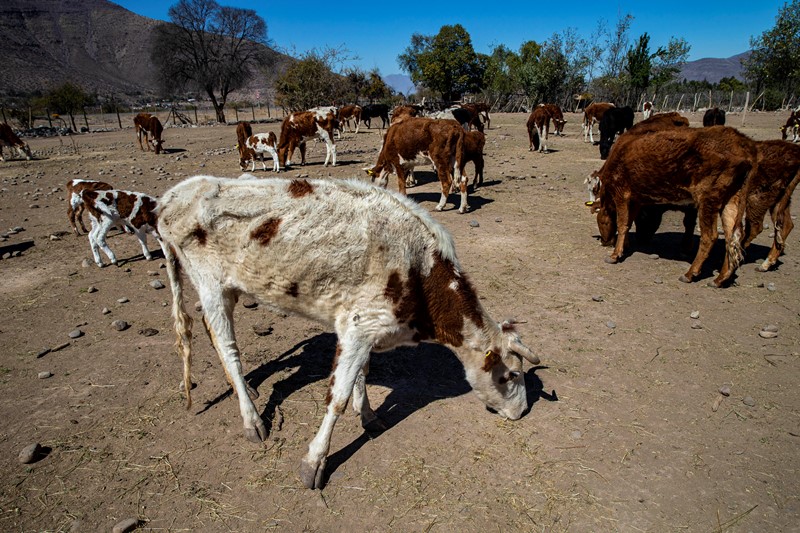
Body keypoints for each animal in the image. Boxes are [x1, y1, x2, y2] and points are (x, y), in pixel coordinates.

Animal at [592, 125, 756, 286]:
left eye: (601, 222)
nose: (605, 242)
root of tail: (741, 144)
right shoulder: (636, 200)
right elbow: (629, 222)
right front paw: (625, 245)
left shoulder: (621, 193)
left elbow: (622, 224)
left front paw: (615, 255)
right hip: (731, 200)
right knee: (732, 238)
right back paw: (720, 278)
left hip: (708, 199)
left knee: (710, 237)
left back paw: (690, 273)